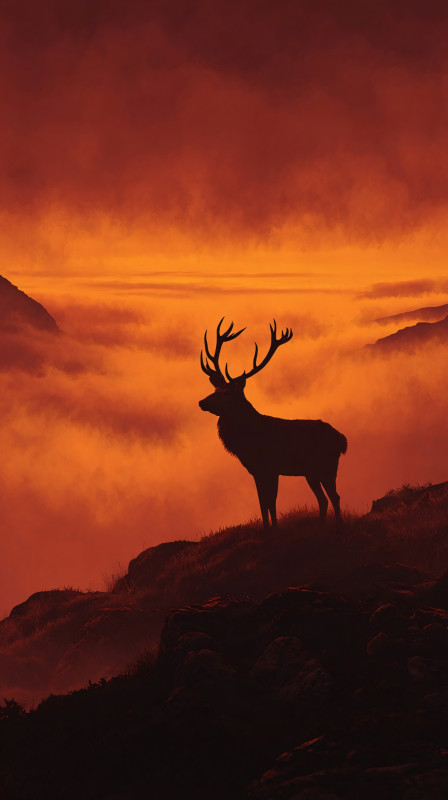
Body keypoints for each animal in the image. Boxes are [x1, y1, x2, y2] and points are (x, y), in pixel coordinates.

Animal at [199, 318, 347, 529]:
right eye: (215, 389)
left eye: (226, 393)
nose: (202, 402)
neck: (248, 442)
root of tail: (342, 439)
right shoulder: (256, 471)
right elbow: (263, 504)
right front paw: (267, 529)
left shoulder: (272, 467)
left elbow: (271, 502)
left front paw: (275, 528)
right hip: (311, 472)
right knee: (323, 499)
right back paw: (320, 526)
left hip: (327, 465)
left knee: (335, 496)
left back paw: (339, 526)